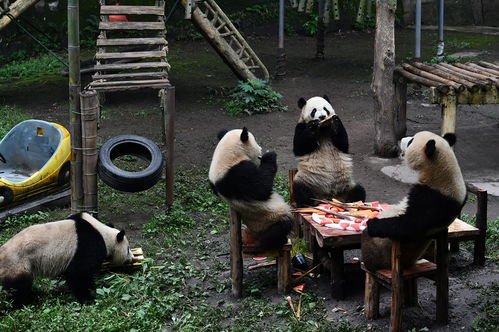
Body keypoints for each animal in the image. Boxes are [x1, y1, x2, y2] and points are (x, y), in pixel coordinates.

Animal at [0, 213, 135, 306]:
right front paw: (88, 298)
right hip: (17, 264)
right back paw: (27, 302)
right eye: (128, 249)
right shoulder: (89, 244)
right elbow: (78, 272)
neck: (102, 232)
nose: (132, 259)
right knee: (20, 287)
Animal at [362, 131, 466, 272]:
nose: (401, 140)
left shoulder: (435, 200)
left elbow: (410, 224)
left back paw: (369, 263)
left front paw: (372, 223)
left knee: (368, 243)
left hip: (381, 249)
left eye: (411, 141)